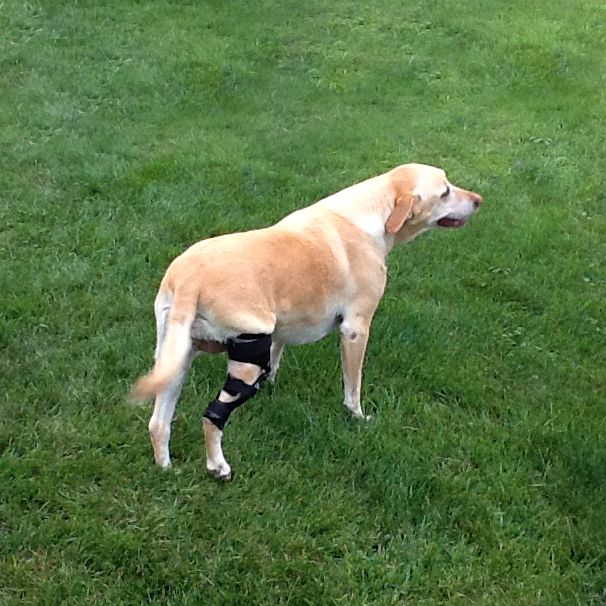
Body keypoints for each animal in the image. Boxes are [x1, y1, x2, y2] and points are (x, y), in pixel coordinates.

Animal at [134, 164, 484, 482]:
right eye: (445, 192)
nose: (479, 200)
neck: (369, 215)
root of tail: (189, 279)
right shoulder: (356, 329)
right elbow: (353, 386)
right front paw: (356, 416)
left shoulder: (279, 330)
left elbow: (277, 356)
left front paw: (272, 385)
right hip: (245, 361)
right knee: (212, 416)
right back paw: (218, 467)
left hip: (176, 357)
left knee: (159, 422)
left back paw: (166, 467)